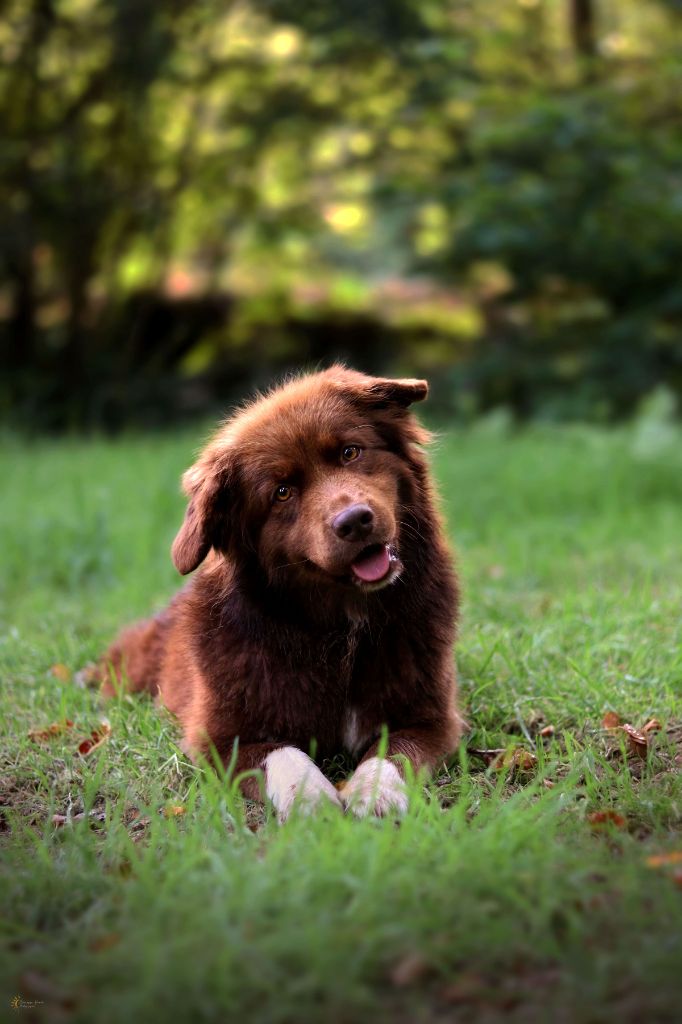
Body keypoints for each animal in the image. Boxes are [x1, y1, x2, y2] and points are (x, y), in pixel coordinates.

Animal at [98, 366, 458, 815]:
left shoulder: (431, 719)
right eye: (282, 492)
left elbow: (394, 752)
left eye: (350, 453)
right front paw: (312, 799)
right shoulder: (218, 738)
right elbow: (283, 753)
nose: (354, 521)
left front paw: (373, 793)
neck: (341, 629)